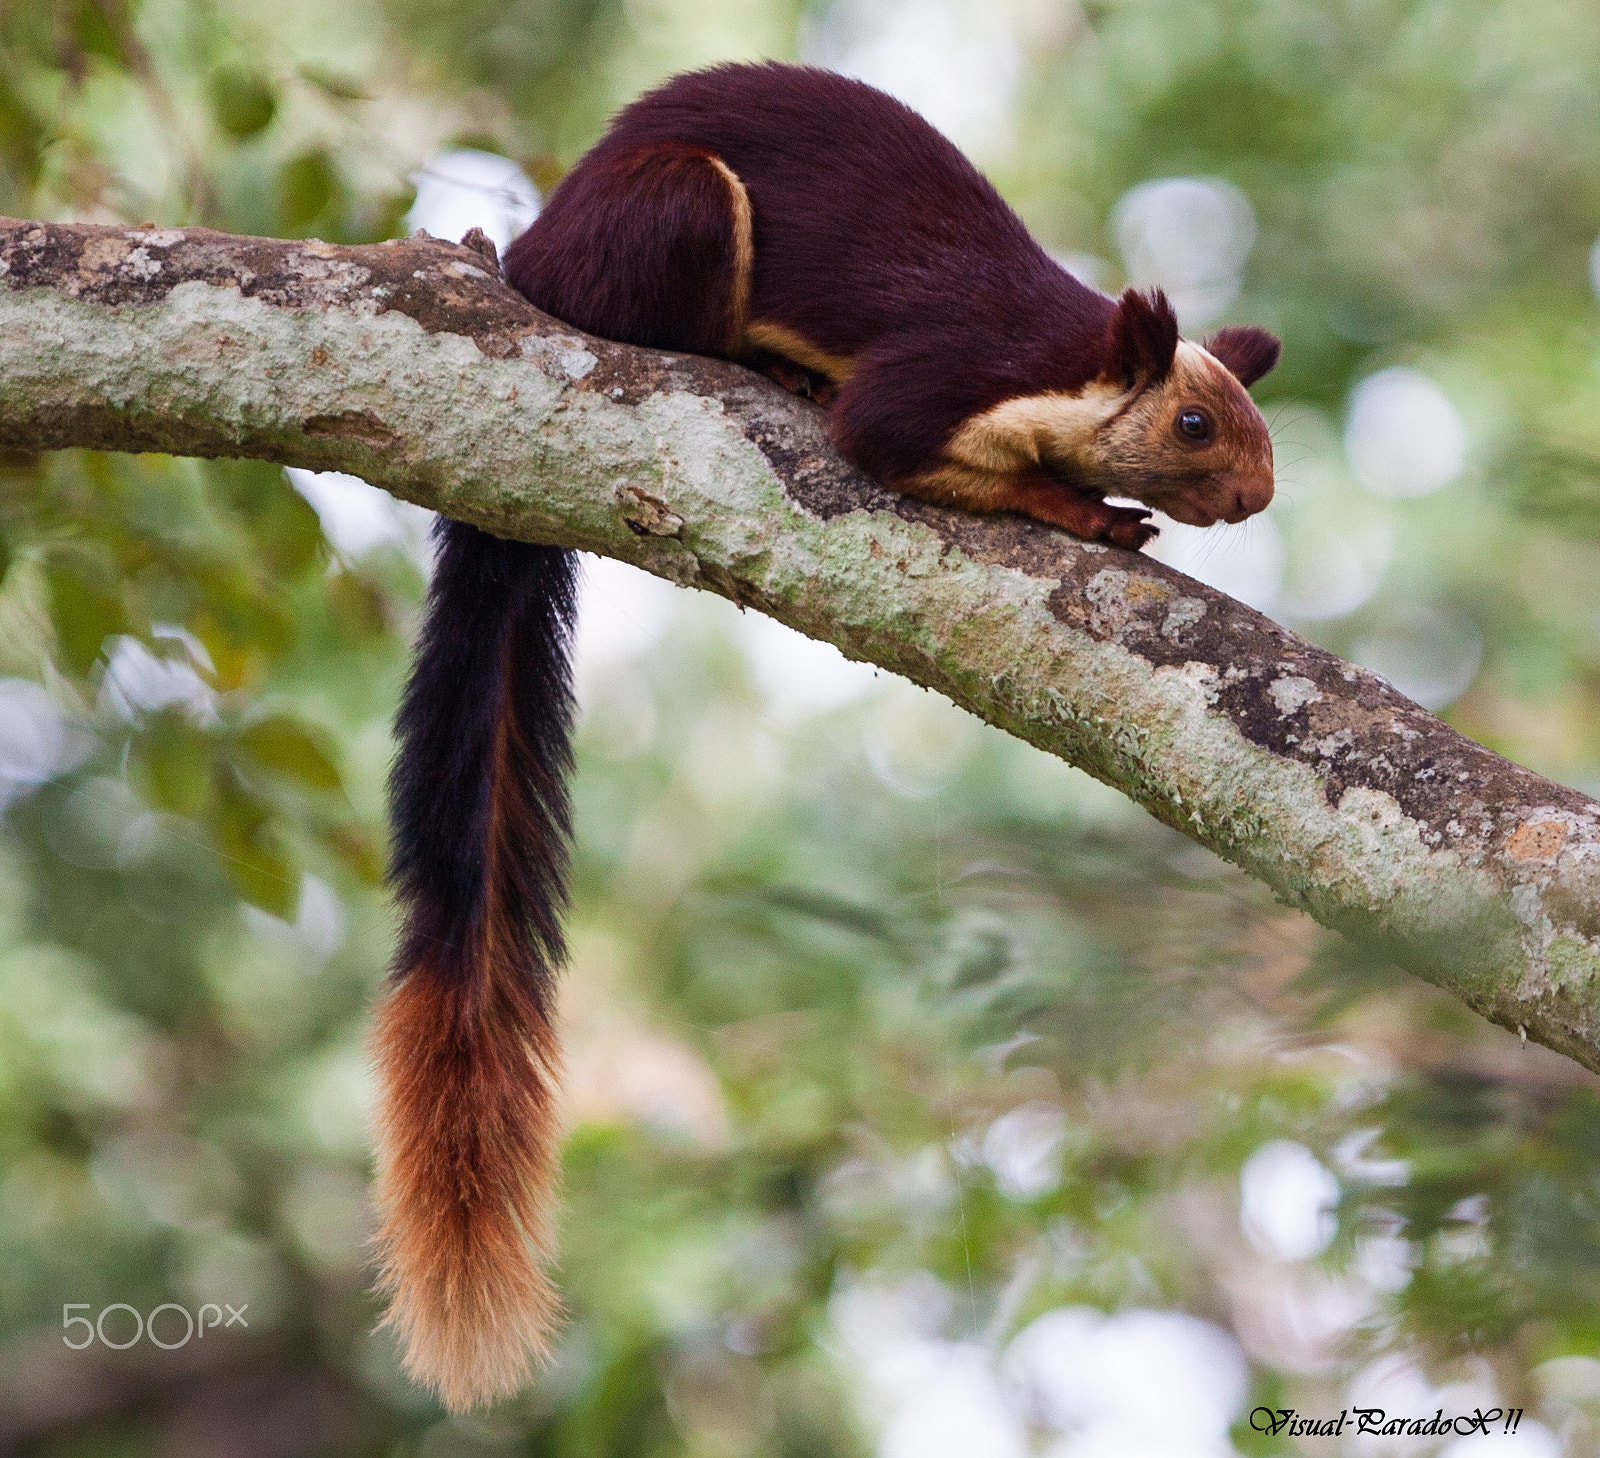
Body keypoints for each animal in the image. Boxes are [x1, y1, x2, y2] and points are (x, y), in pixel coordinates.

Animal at [368, 60, 1280, 1414]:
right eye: (1194, 428)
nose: (1258, 497)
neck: (1058, 365)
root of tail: (532, 249)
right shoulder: (937, 378)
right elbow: (888, 445)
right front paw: (1081, 508)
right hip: (669, 210)